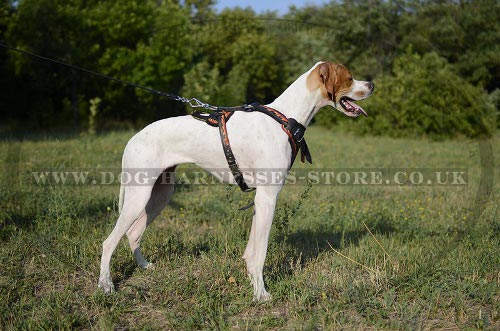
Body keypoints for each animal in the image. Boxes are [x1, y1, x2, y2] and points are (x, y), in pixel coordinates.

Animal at [99, 61, 376, 302]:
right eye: (350, 78)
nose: (372, 84)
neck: (286, 118)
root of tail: (133, 138)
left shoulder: (259, 200)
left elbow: (251, 251)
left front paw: (254, 284)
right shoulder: (267, 198)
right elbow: (260, 253)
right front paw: (261, 295)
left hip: (159, 195)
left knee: (133, 234)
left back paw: (144, 267)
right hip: (138, 197)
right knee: (109, 241)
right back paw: (106, 285)